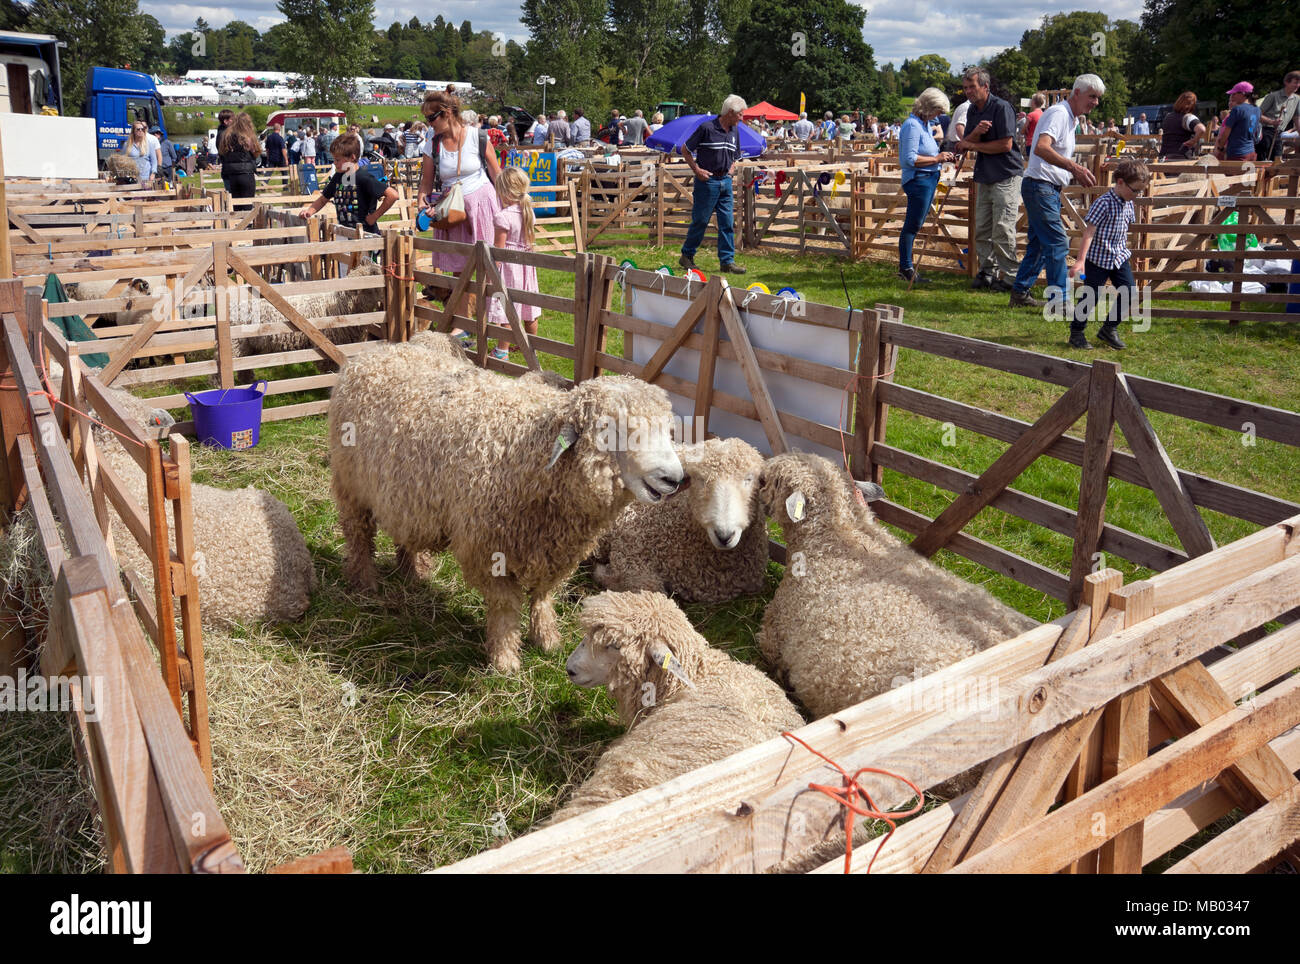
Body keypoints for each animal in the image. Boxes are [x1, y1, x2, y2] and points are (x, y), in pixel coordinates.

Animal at [330, 335, 686, 675]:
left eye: (668, 430)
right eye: (610, 430)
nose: (673, 478)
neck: (530, 453)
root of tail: (377, 352)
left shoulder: (555, 548)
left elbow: (542, 595)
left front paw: (546, 637)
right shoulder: (489, 548)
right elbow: (504, 606)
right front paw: (504, 658)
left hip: (406, 492)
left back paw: (413, 570)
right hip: (351, 485)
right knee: (358, 534)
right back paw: (365, 581)